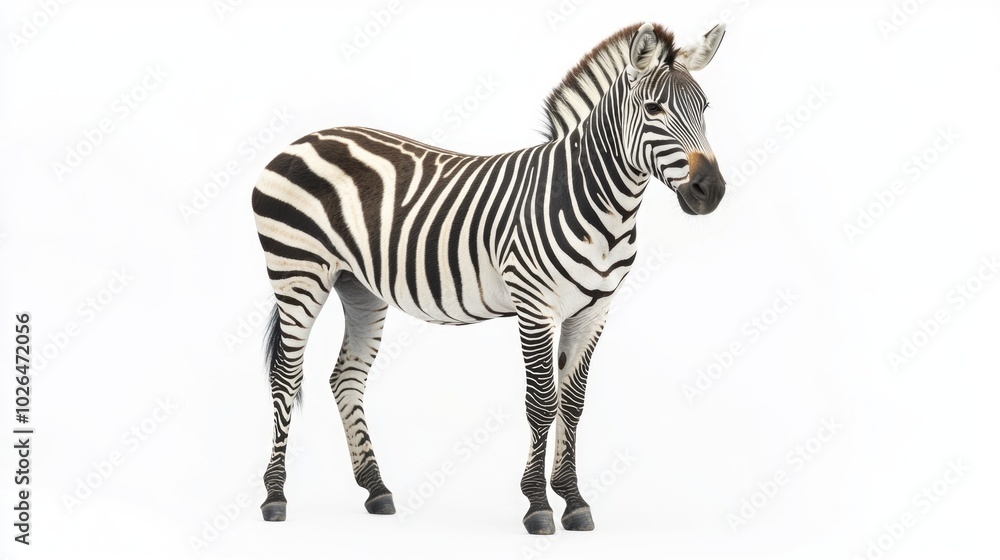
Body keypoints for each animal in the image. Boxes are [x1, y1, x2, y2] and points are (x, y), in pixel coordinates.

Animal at [251, 21, 726, 535]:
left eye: (705, 109)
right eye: (654, 109)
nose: (711, 191)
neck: (593, 200)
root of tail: (304, 139)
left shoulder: (595, 310)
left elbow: (573, 404)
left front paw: (573, 499)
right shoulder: (534, 305)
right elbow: (542, 401)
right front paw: (538, 504)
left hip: (358, 286)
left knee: (346, 377)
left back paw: (376, 489)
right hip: (297, 273)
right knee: (284, 376)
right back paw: (275, 496)